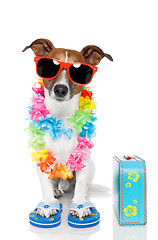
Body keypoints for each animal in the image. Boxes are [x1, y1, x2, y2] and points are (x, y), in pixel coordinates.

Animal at [23, 38, 112, 218]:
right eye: (50, 67)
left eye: (80, 72)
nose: (60, 89)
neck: (62, 117)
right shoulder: (43, 159)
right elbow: (46, 185)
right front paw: (47, 205)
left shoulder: (83, 161)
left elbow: (81, 185)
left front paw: (79, 205)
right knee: (55, 182)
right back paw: (56, 191)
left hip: (92, 167)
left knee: (82, 186)